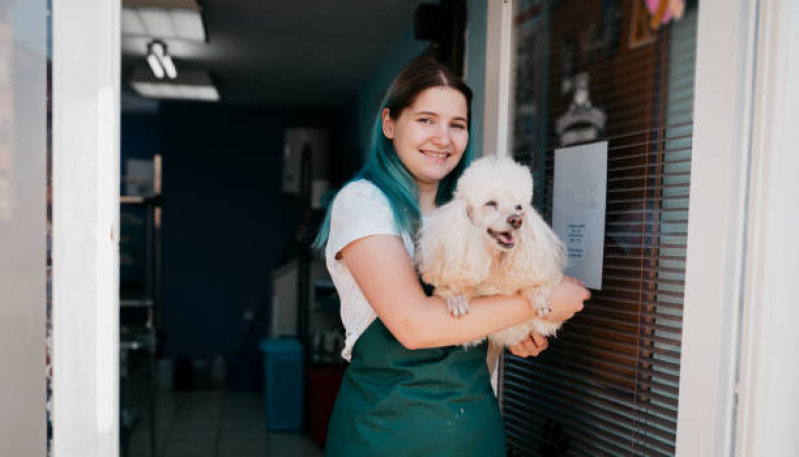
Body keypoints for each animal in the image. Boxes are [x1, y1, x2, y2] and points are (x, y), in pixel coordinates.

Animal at [416, 156, 564, 352]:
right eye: (491, 203)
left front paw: (537, 295)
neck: (493, 259)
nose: (517, 220)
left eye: (519, 207)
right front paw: (457, 297)